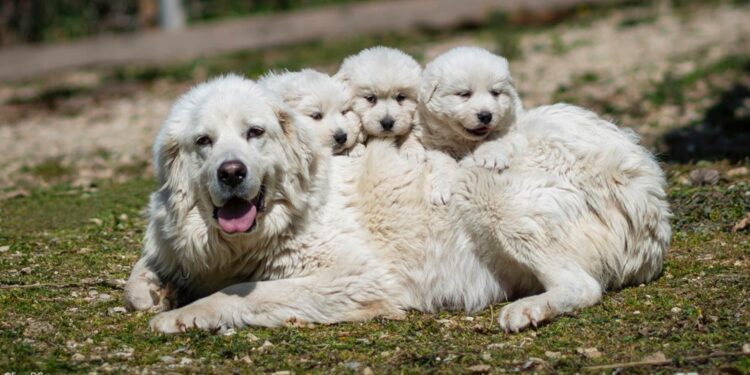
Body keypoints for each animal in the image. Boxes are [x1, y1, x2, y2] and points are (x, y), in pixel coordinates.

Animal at [126, 73, 672, 334]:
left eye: (254, 133)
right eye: (203, 142)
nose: (231, 172)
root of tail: (641, 171)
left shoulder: (354, 277)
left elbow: (243, 293)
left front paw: (184, 314)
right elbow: (140, 276)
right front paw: (156, 292)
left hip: (486, 189)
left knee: (581, 286)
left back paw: (530, 309)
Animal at [420, 47, 524, 206]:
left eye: (495, 93)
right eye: (464, 94)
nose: (486, 116)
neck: (465, 141)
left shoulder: (512, 129)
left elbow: (494, 137)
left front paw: (491, 157)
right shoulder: (433, 145)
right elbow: (444, 162)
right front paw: (443, 189)